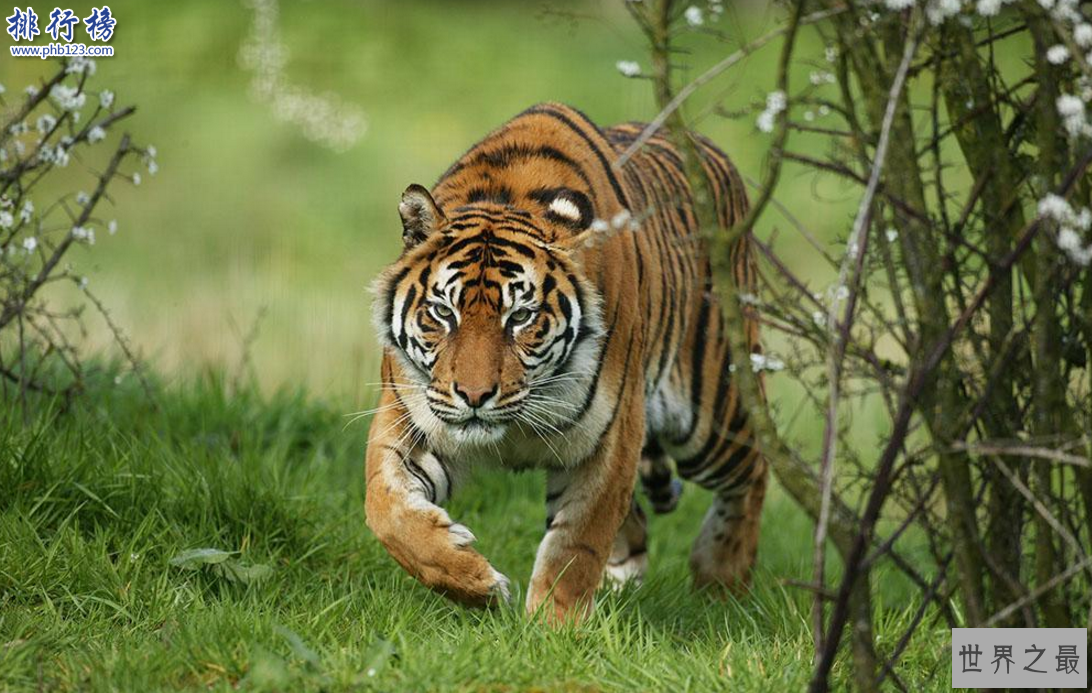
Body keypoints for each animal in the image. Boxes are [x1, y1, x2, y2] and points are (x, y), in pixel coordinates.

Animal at [362, 103, 764, 624]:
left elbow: (577, 547)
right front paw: (477, 584)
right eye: (443, 312)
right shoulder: (410, 420)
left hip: (711, 415)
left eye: (521, 317)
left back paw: (722, 579)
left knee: (758, 466)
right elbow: (387, 511)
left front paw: (555, 628)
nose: (474, 396)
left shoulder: (610, 438)